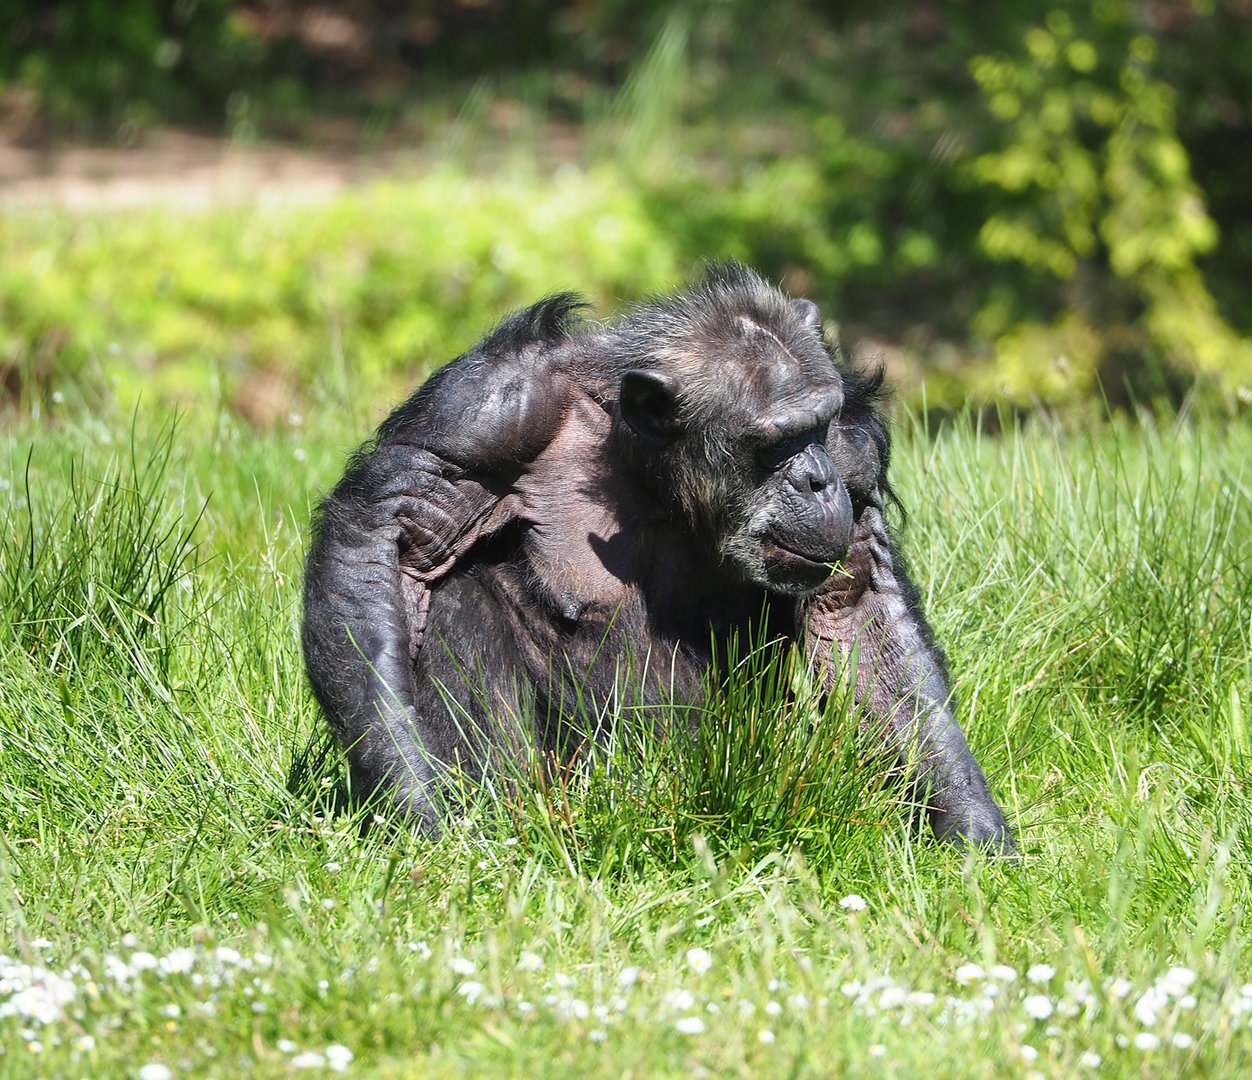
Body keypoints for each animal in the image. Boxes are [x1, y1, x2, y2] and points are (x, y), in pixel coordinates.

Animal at [302, 264, 1014, 851]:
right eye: (773, 443)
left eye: (817, 426)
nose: (816, 478)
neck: (654, 463)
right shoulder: (484, 410)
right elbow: (385, 535)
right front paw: (416, 808)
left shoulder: (853, 442)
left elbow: (856, 603)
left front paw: (971, 827)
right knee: (453, 588)